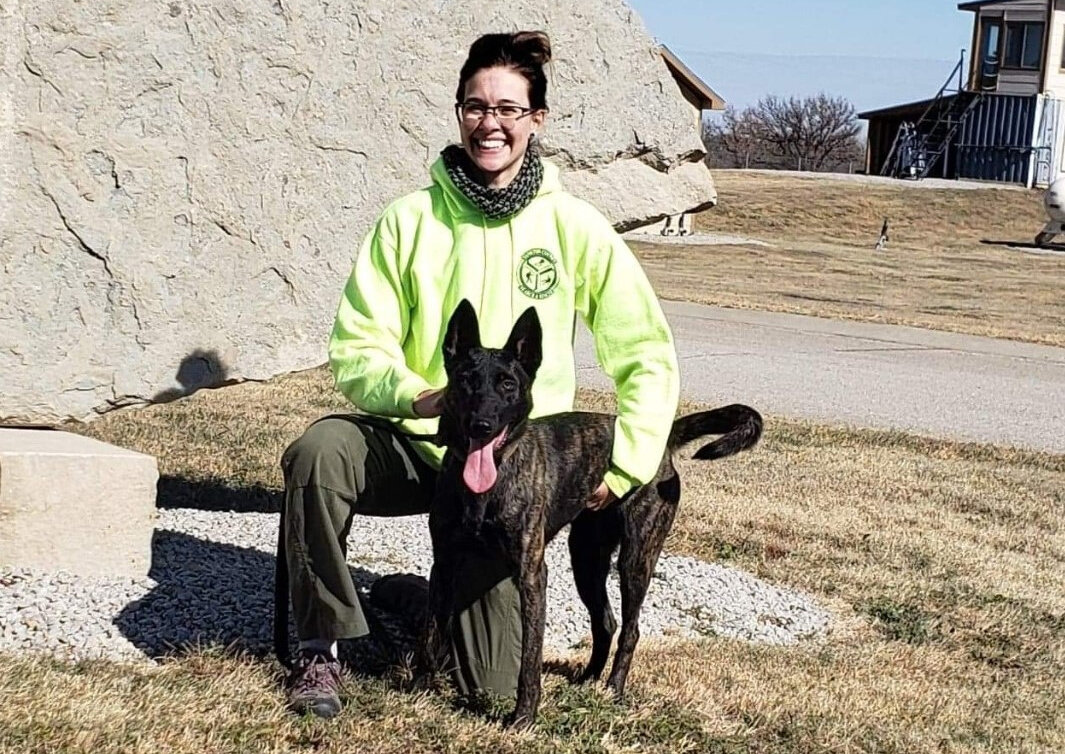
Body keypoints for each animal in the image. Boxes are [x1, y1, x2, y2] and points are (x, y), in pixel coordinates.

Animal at [419, 298, 762, 724]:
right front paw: (420, 693)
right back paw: (587, 680)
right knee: (605, 622)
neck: (490, 480)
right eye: (466, 380)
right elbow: (433, 630)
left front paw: (524, 716)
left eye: (508, 385)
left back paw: (613, 687)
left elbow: (529, 656)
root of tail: (661, 442)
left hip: (636, 558)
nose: (481, 424)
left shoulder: (532, 575)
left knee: (629, 628)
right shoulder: (445, 561)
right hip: (586, 557)